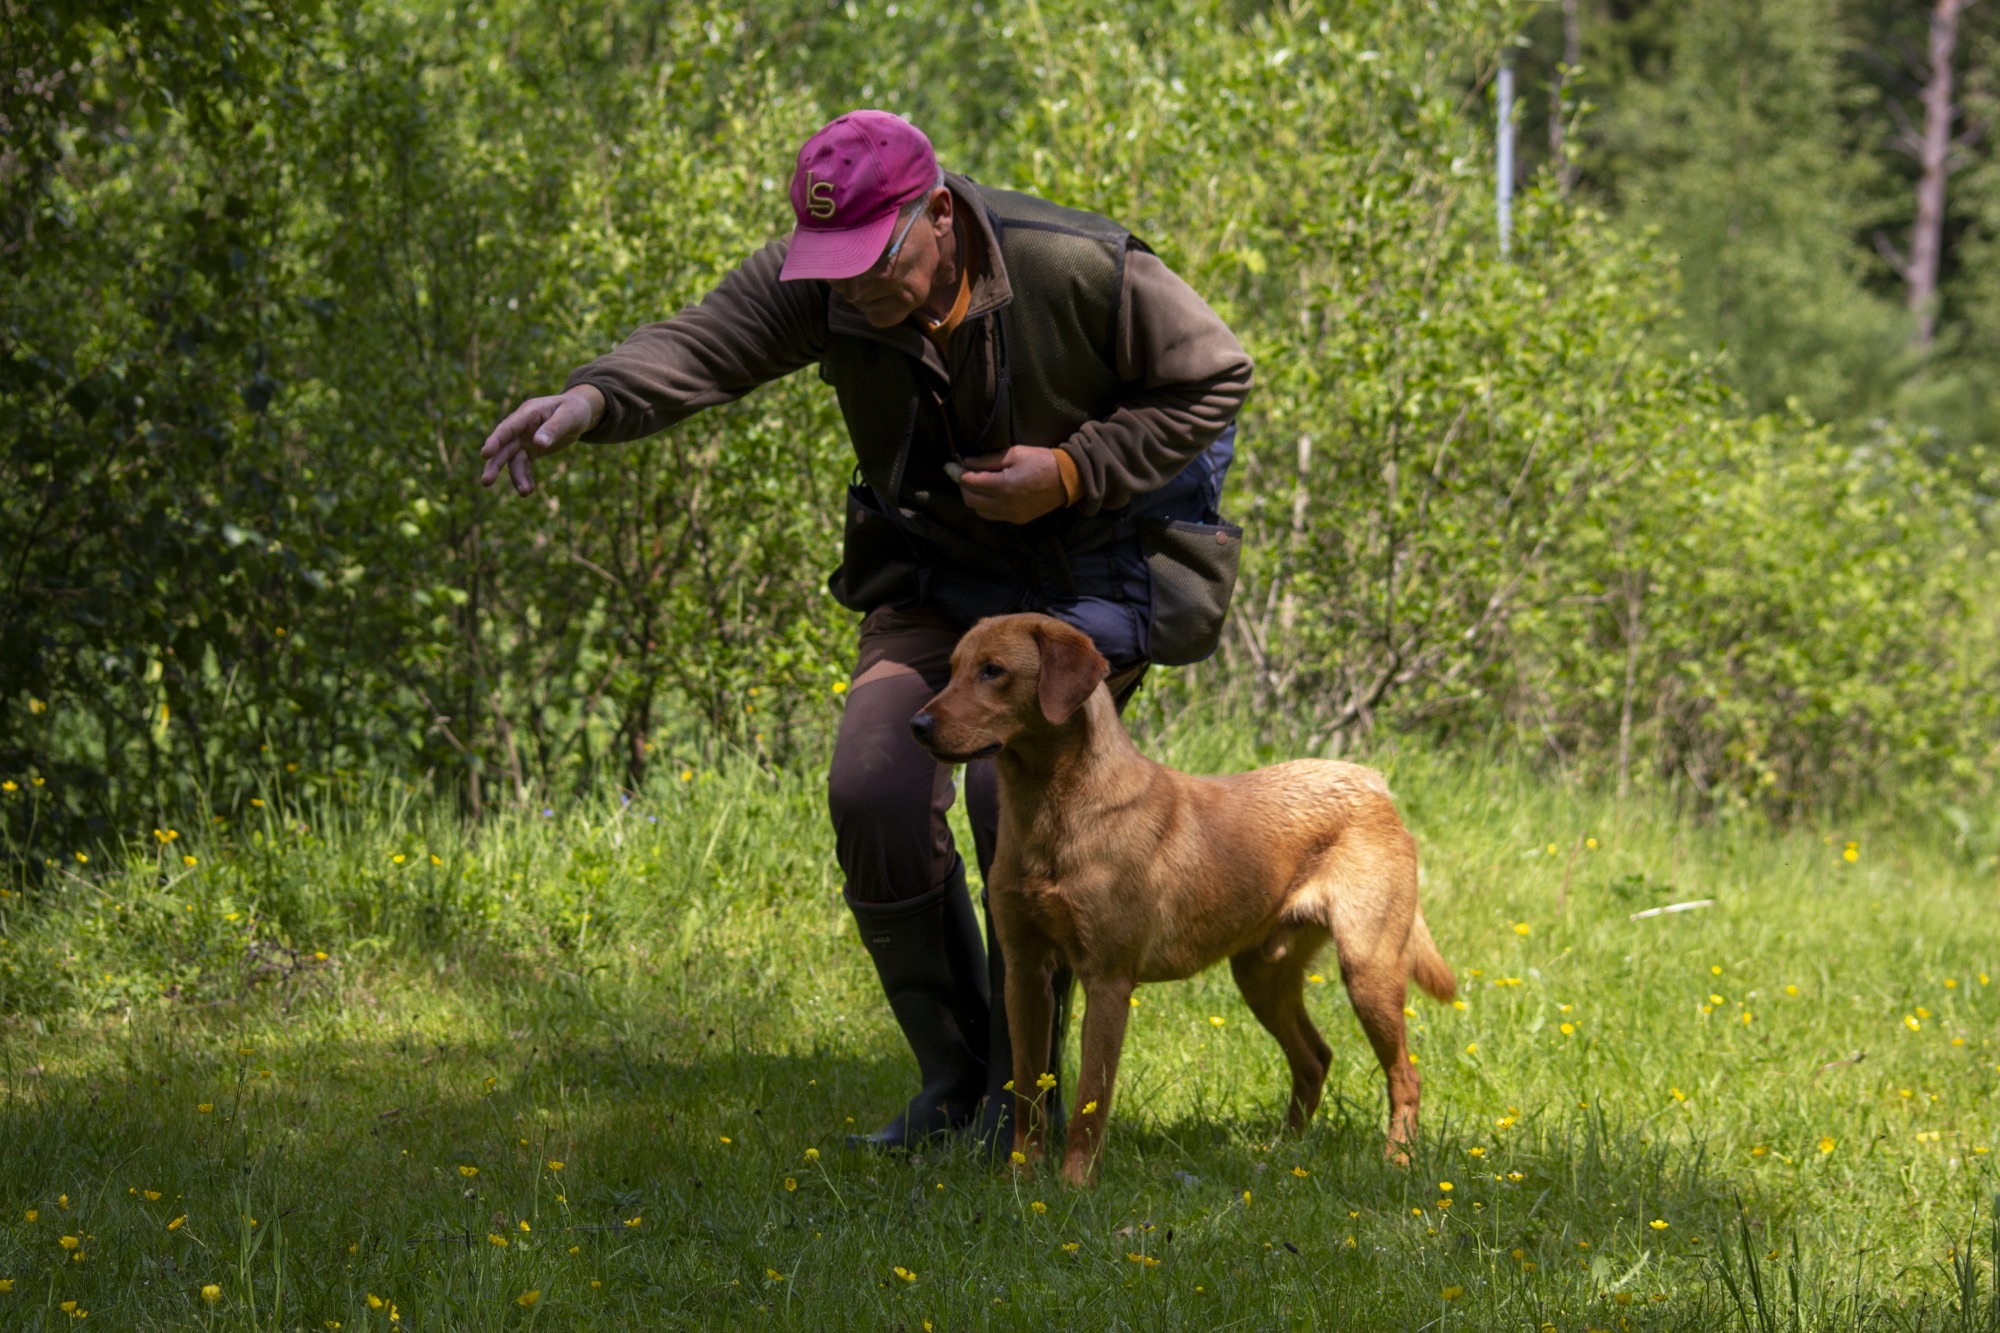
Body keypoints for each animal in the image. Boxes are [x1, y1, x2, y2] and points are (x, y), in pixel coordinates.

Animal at [910, 613, 1455, 1187]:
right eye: (952, 668)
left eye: (993, 671)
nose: (916, 725)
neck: (1050, 816)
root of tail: (1374, 783)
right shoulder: (1025, 972)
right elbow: (1028, 1091)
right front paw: (1021, 1178)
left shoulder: (1107, 979)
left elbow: (1089, 1103)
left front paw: (1074, 1187)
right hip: (1261, 974)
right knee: (1315, 1058)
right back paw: (1282, 1153)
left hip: (1368, 968)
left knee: (1405, 1075)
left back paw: (1397, 1159)